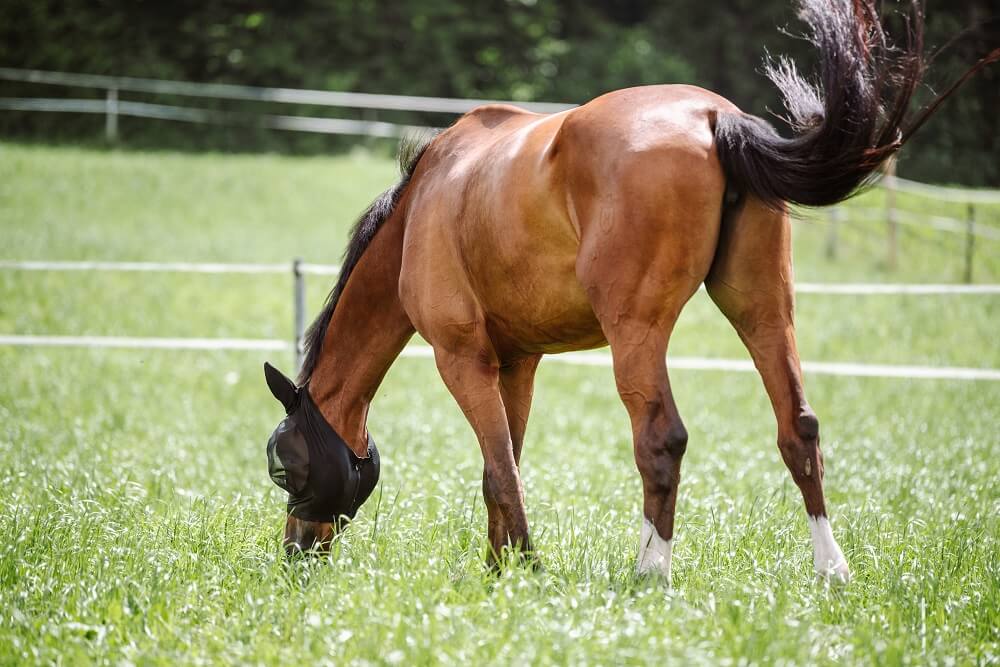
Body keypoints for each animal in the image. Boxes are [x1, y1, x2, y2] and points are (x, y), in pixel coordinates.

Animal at [270, 0, 996, 584]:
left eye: (283, 463)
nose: (296, 549)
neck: (428, 199)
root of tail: (714, 118)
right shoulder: (517, 362)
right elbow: (503, 467)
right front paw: (499, 569)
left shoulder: (463, 358)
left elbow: (500, 468)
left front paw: (526, 567)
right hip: (763, 311)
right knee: (800, 427)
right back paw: (831, 569)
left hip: (636, 333)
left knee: (660, 439)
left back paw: (650, 570)